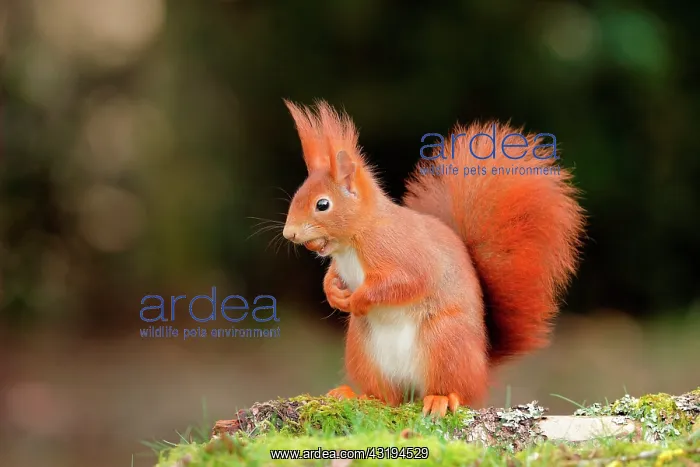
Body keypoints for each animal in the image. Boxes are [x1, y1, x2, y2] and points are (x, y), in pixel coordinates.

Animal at [281, 100, 585, 417]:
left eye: (322, 204)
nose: (289, 233)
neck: (355, 240)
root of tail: (480, 369)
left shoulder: (404, 253)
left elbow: (406, 282)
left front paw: (358, 299)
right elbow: (333, 277)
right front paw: (334, 293)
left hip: (444, 343)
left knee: (453, 390)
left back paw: (440, 399)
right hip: (364, 351)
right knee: (388, 398)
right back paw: (356, 396)